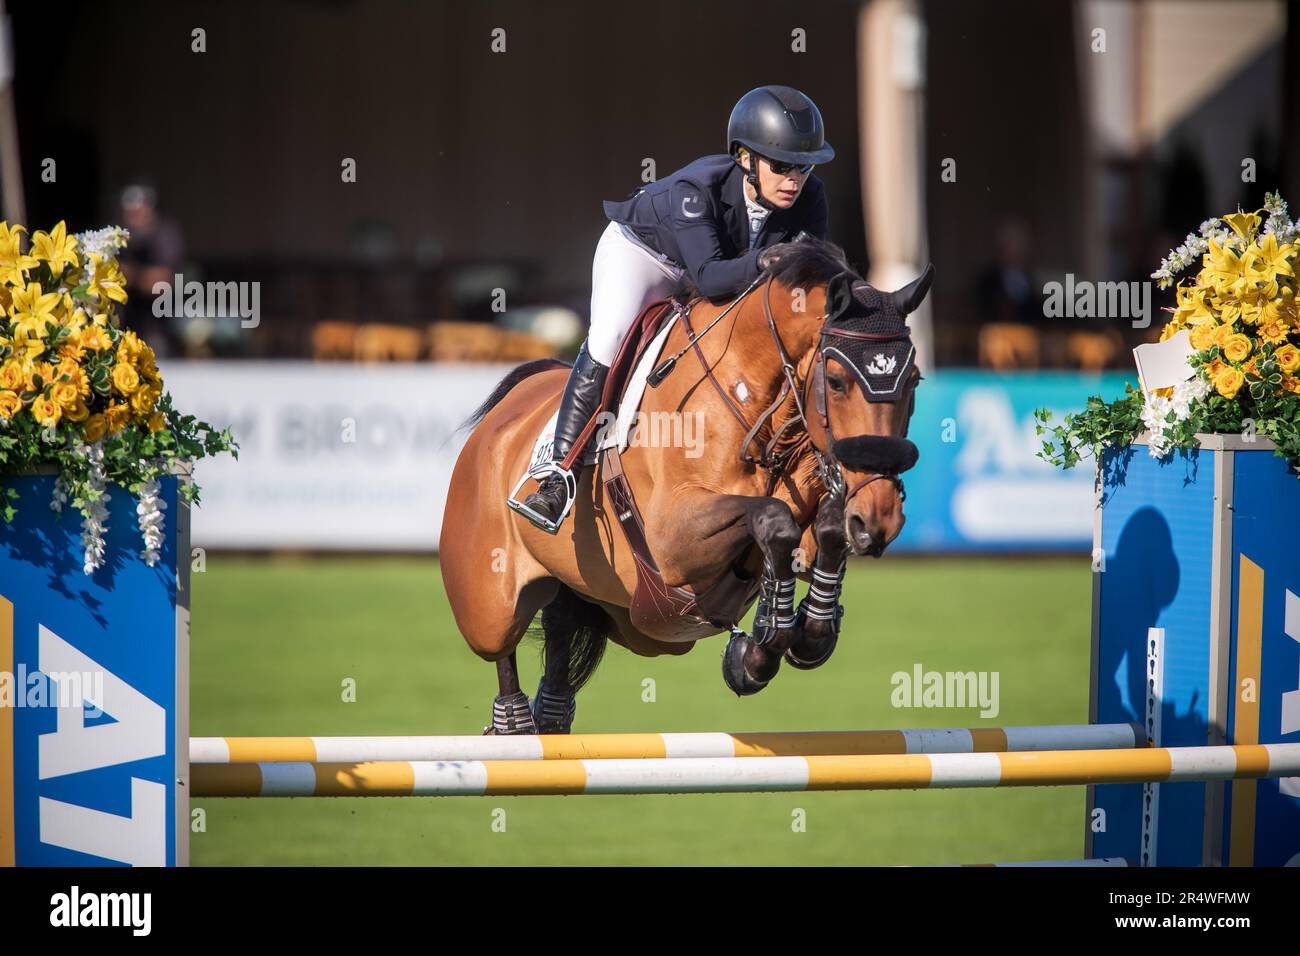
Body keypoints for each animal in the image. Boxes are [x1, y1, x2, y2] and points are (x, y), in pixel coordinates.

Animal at [441, 239, 930, 733]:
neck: (750, 396)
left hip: (608, 608)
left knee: (560, 631)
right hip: (491, 605)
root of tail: (503, 414)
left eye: (914, 381)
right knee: (501, 648)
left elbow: (821, 529)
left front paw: (798, 634)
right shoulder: (673, 541)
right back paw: (515, 723)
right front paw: (758, 649)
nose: (880, 518)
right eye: (835, 381)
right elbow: (773, 519)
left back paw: (548, 719)